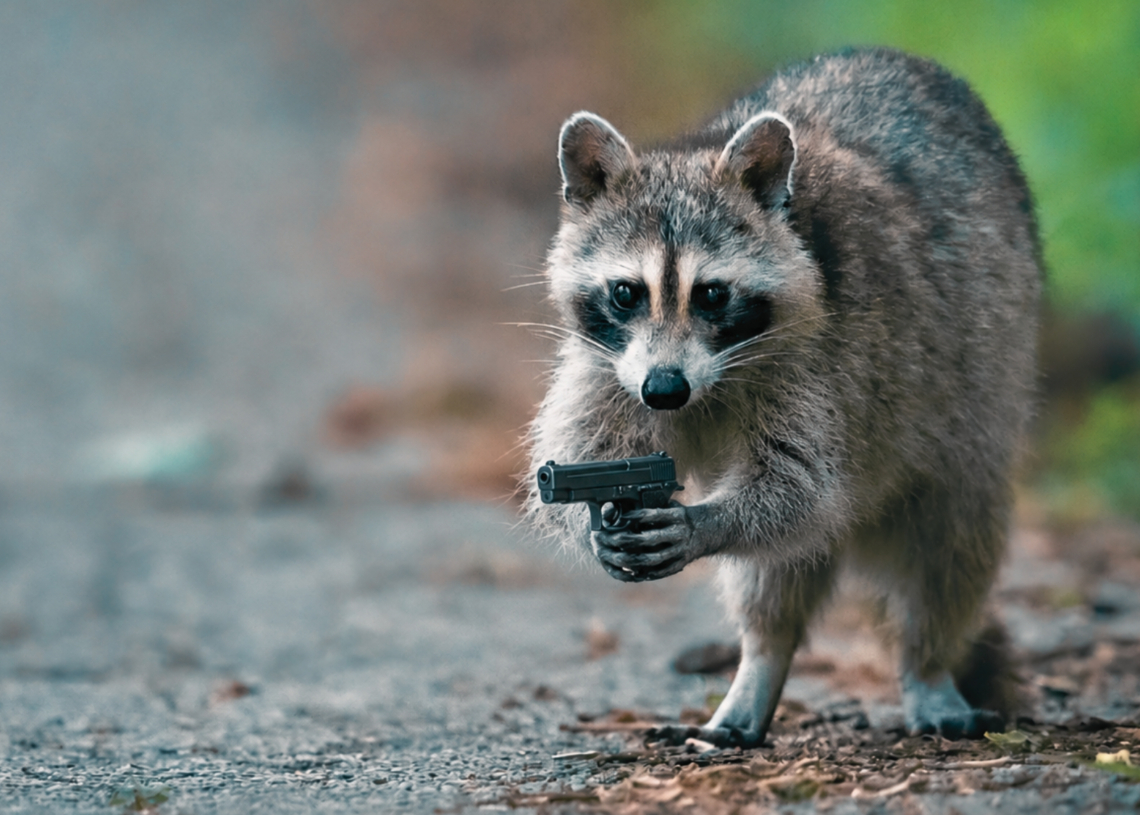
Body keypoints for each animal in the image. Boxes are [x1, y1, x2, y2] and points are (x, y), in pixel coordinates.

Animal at [525, 48, 1040, 746]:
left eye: (711, 294)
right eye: (627, 292)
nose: (665, 391)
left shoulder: (830, 363)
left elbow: (802, 488)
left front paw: (706, 523)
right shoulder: (608, 367)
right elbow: (580, 448)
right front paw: (589, 522)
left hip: (981, 386)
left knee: (949, 542)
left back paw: (926, 663)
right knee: (777, 587)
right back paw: (761, 662)